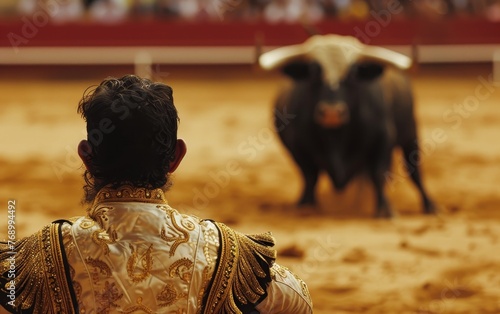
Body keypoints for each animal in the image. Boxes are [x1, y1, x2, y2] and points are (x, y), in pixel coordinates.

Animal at [260, 33, 436, 217]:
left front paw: (384, 209)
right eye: (314, 72)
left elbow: (378, 173)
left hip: (410, 134)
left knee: (414, 171)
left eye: (352, 74)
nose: (331, 113)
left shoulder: (383, 140)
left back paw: (430, 205)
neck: (336, 137)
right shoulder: (298, 148)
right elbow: (309, 176)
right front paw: (306, 206)